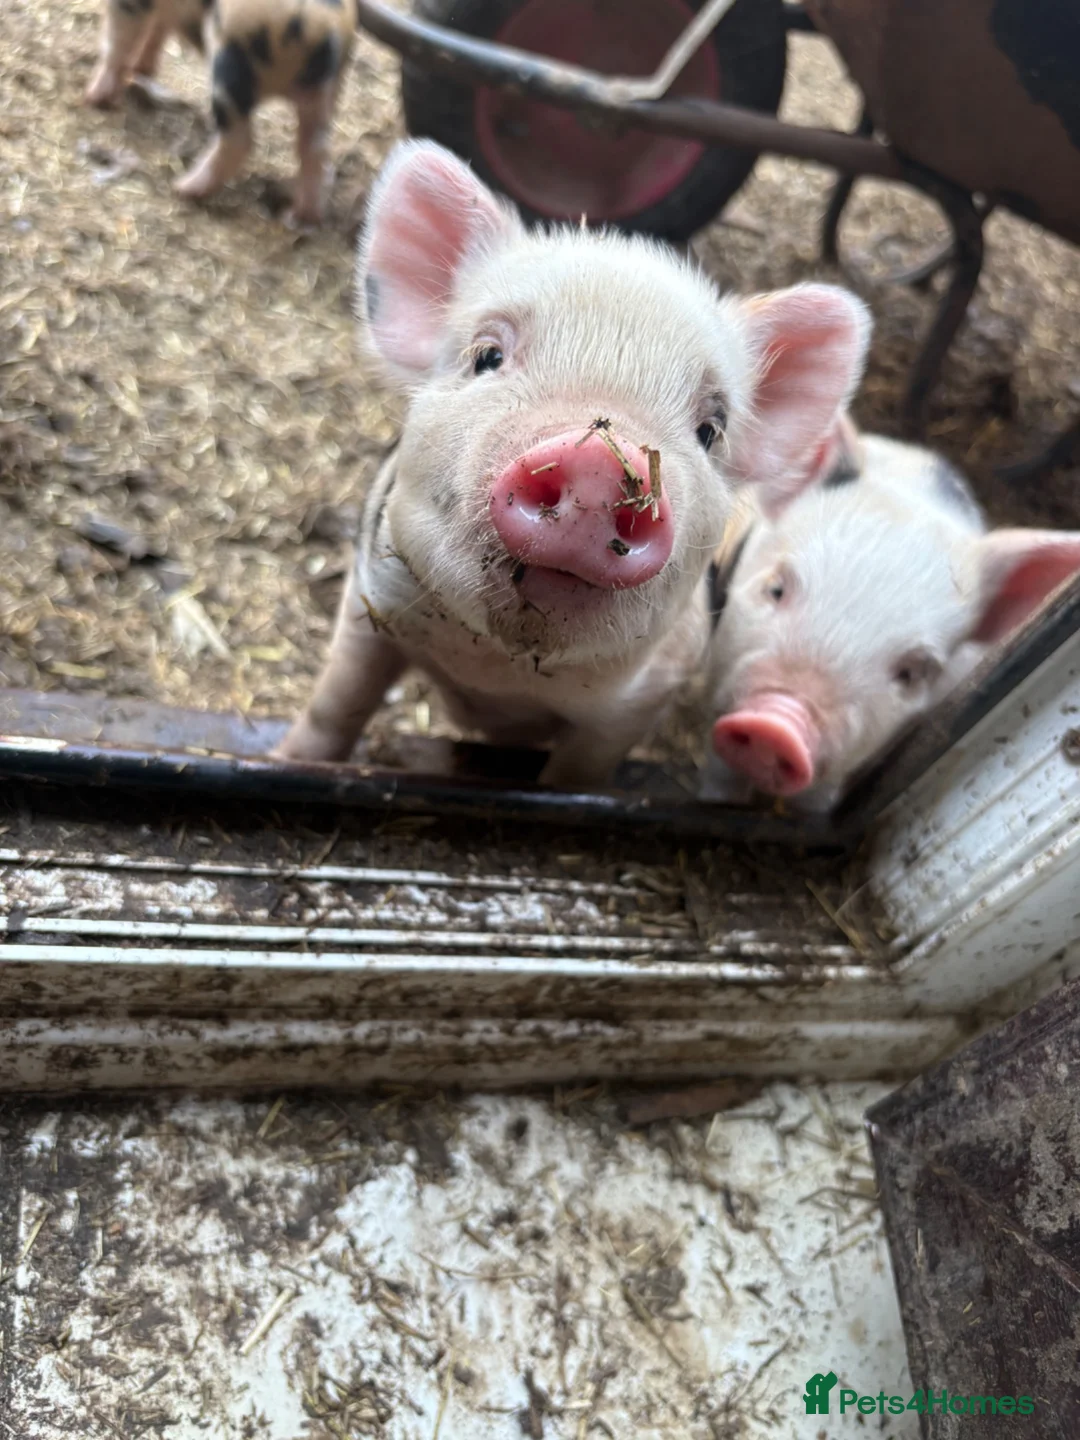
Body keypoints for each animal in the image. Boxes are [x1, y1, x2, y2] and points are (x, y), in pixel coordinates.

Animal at [84, 0, 355, 225]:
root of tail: (324, 31)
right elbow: (158, 29)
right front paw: (140, 70)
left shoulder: (133, 4)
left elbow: (118, 39)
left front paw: (93, 97)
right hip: (324, 95)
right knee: (315, 151)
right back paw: (299, 216)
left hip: (229, 68)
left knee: (240, 140)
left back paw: (183, 189)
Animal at [273, 139, 871, 788]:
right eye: (487, 356)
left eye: (710, 430)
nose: (601, 463)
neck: (497, 673)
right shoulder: (370, 596)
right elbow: (339, 701)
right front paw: (287, 760)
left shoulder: (639, 700)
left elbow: (576, 777)